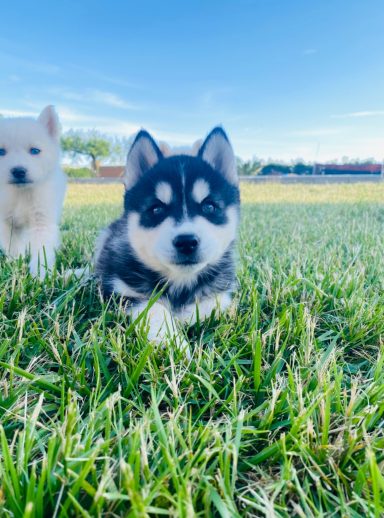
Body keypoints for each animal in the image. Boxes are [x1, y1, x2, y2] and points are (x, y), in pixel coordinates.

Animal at [0, 106, 66, 280]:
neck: (21, 193)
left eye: (35, 151)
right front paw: (14, 264)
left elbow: (41, 251)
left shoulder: (41, 221)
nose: (19, 171)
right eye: (1, 151)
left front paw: (39, 276)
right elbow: (12, 247)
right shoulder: (6, 223)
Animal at [96, 128, 240, 352]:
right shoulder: (122, 291)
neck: (180, 281)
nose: (187, 242)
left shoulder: (221, 293)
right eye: (156, 209)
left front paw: (183, 320)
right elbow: (154, 308)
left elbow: (209, 306)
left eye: (209, 206)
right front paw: (172, 341)